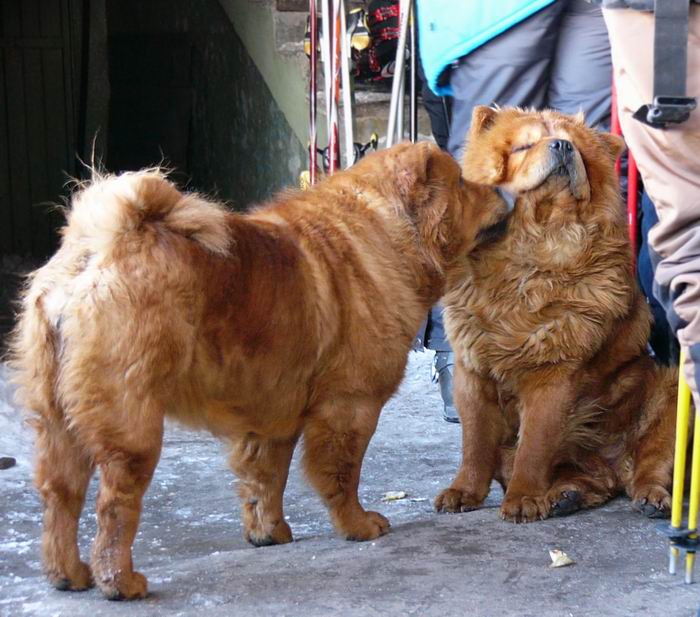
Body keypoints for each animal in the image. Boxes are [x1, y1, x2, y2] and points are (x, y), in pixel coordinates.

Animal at [8, 142, 506, 600]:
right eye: (463, 183)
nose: (503, 191)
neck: (389, 236)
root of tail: (96, 250)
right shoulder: (350, 405)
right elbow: (341, 473)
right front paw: (359, 525)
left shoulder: (272, 415)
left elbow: (266, 478)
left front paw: (269, 533)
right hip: (131, 422)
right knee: (114, 505)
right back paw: (122, 582)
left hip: (57, 419)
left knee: (60, 498)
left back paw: (68, 574)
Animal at [434, 108, 680, 524]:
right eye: (524, 145)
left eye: (576, 146)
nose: (563, 146)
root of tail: (614, 463)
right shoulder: (472, 371)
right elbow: (475, 442)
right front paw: (462, 492)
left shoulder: (554, 373)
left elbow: (535, 445)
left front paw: (523, 500)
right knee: (593, 480)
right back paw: (566, 495)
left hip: (670, 390)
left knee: (649, 467)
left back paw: (651, 499)